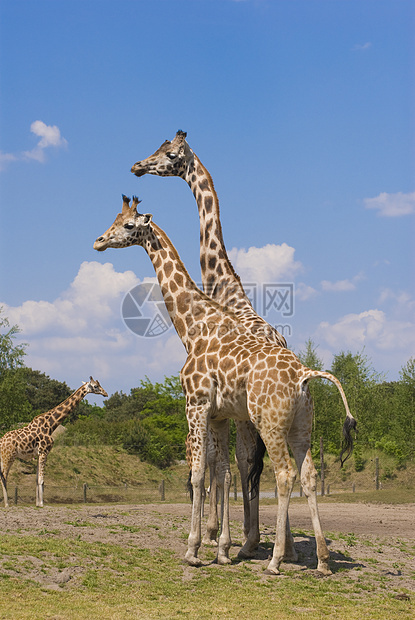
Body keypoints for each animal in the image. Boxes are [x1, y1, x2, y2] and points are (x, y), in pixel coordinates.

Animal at [0, 376, 107, 506]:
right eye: (96, 386)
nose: (105, 393)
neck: (51, 425)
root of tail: (1, 442)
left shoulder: (39, 453)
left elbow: (37, 479)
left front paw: (37, 503)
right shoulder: (44, 451)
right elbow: (41, 480)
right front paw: (41, 503)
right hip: (9, 456)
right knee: (4, 477)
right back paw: (6, 504)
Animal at [94, 196, 358, 572]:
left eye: (129, 225)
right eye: (114, 220)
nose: (99, 241)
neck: (193, 327)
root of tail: (304, 376)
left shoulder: (195, 403)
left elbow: (197, 475)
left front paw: (193, 550)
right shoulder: (218, 414)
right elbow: (220, 472)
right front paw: (220, 550)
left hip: (268, 423)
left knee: (284, 474)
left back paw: (275, 560)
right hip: (301, 427)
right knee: (308, 475)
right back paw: (321, 561)